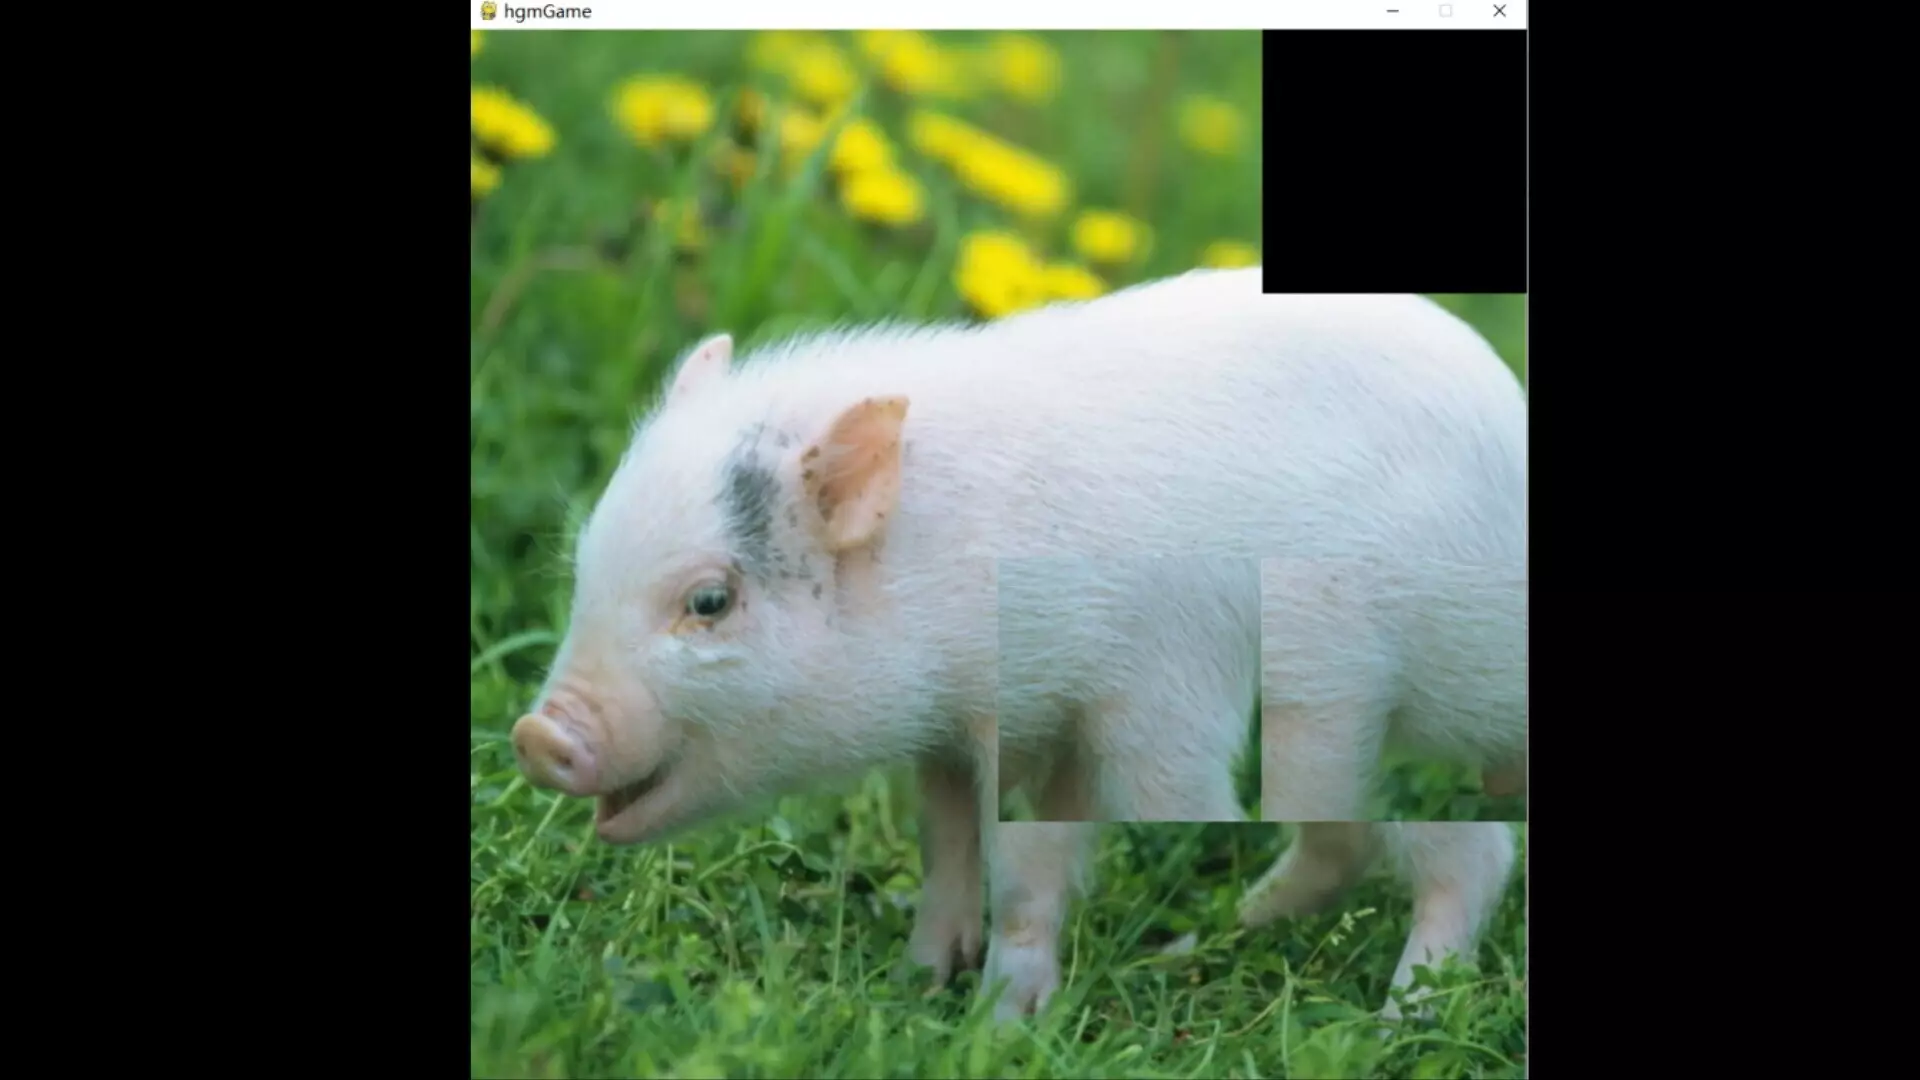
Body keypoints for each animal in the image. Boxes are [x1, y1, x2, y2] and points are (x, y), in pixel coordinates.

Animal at [506, 267, 1527, 1018]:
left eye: (710, 601)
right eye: (586, 563)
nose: (537, 735)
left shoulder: (1139, 700)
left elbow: (1036, 863)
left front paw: (998, 1025)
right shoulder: (975, 729)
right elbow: (952, 842)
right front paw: (919, 982)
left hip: (1342, 694)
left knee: (1448, 849)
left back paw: (1391, 1014)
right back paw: (1235, 929)